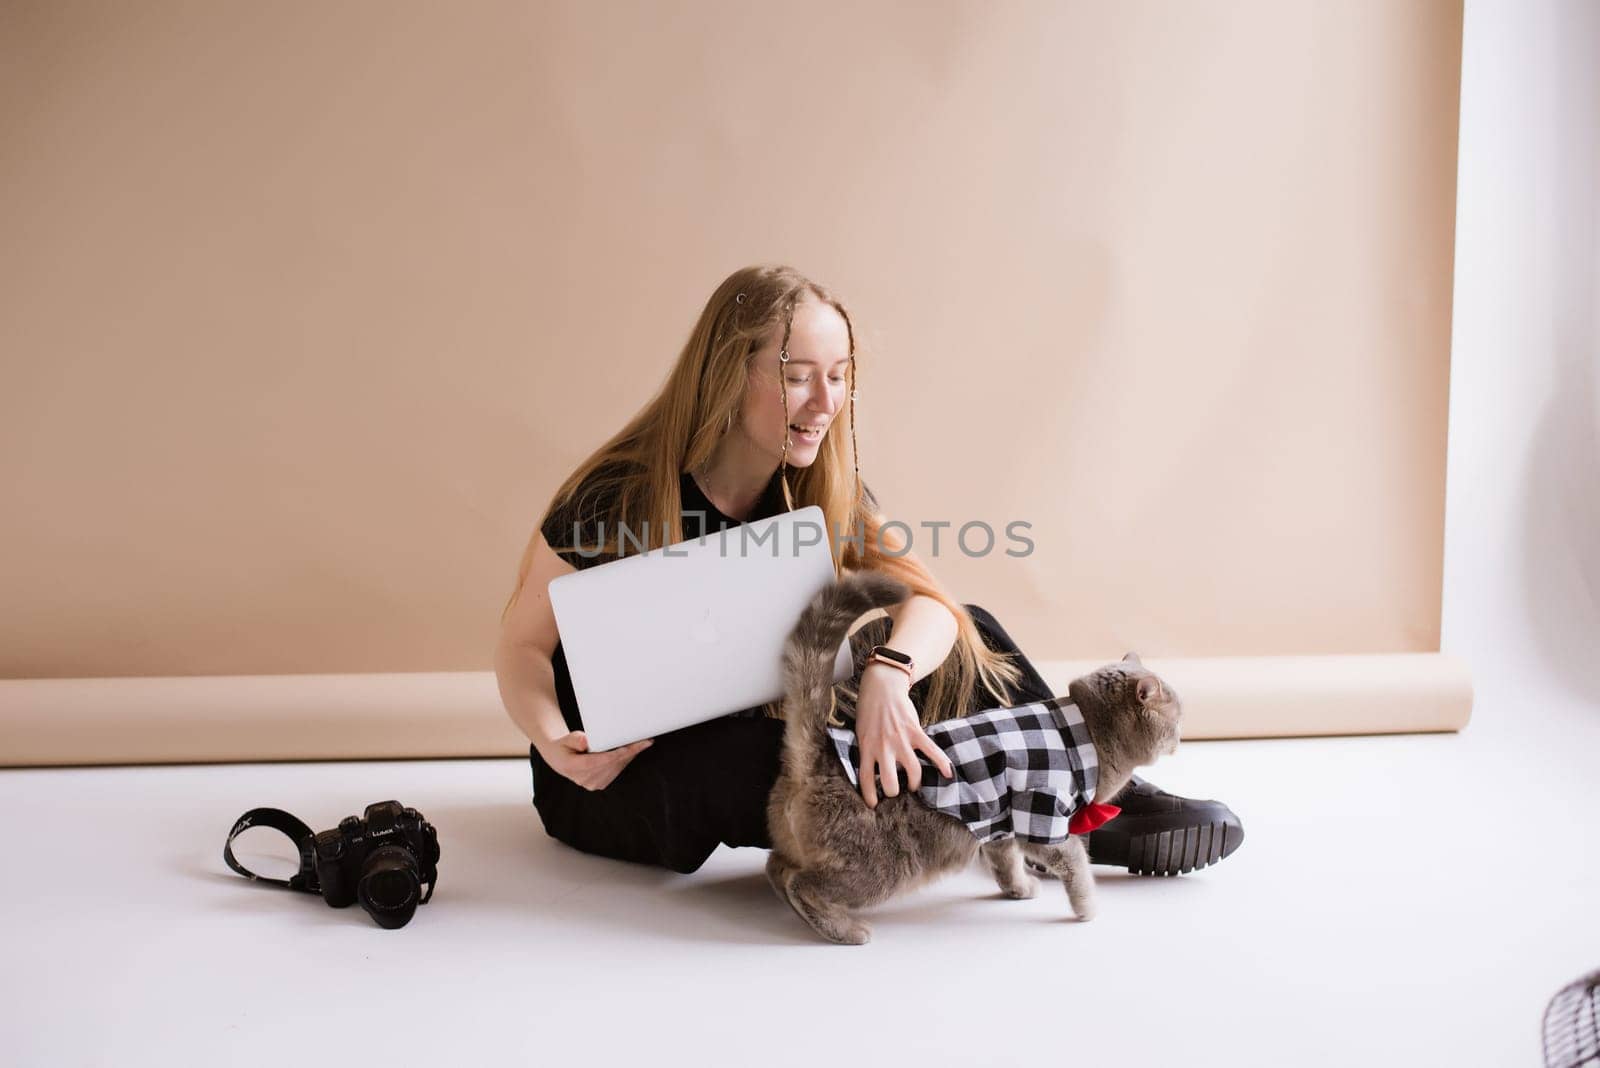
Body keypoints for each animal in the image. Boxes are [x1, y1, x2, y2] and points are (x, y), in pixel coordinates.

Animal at [768, 572, 1184, 946]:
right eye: (1178, 715)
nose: (1181, 736)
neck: (1086, 733)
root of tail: (819, 755)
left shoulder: (999, 822)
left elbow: (1006, 861)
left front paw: (1018, 888)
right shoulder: (1043, 818)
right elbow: (1076, 864)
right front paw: (1087, 909)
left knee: (777, 867)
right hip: (882, 868)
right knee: (802, 884)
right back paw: (846, 930)